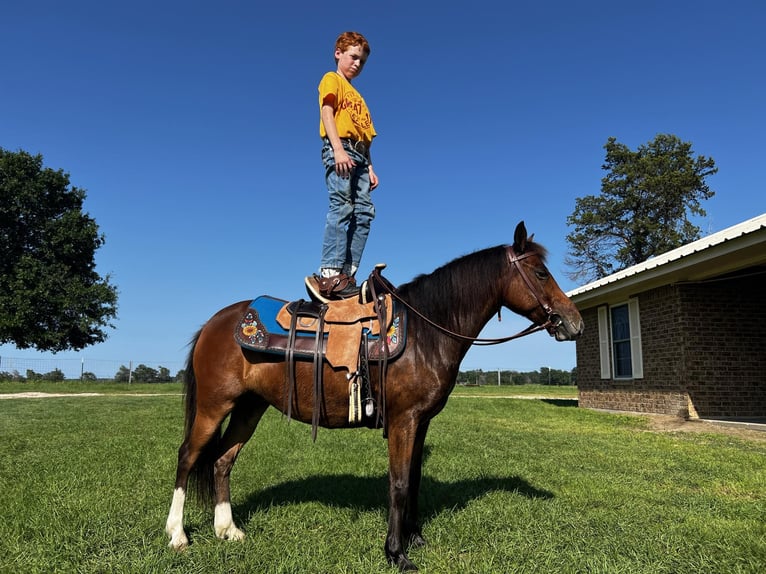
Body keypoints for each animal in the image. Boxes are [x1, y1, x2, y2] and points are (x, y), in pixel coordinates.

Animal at [165, 222, 584, 572]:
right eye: (541, 273)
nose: (575, 322)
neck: (426, 332)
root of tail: (214, 324)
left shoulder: (421, 422)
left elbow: (413, 479)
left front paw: (415, 538)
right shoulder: (403, 420)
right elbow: (397, 483)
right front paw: (396, 553)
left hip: (249, 408)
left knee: (222, 460)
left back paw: (228, 530)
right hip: (214, 406)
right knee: (188, 457)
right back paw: (178, 535)